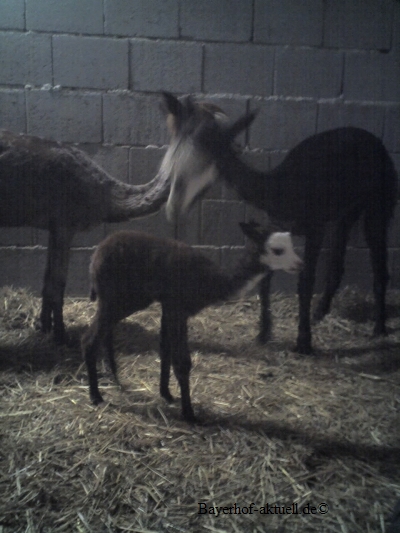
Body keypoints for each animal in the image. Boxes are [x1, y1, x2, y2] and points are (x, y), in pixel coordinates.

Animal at [81, 222, 303, 422]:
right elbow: (182, 362)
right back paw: (96, 396)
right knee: (90, 338)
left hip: (125, 300)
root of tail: (96, 255)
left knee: (104, 332)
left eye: (292, 245)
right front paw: (189, 414)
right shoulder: (178, 309)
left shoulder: (169, 308)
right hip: (119, 298)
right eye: (278, 250)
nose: (300, 264)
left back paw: (113, 376)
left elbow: (165, 350)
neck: (212, 279)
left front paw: (167, 394)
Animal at [159, 92, 398, 355]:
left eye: (214, 150)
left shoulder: (315, 229)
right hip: (345, 214)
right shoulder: (277, 226)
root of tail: (376, 142)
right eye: (175, 141)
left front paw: (303, 341)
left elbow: (305, 281)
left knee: (379, 261)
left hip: (378, 208)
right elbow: (266, 277)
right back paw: (320, 312)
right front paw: (263, 334)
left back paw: (379, 328)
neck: (282, 188)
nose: (173, 205)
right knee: (339, 256)